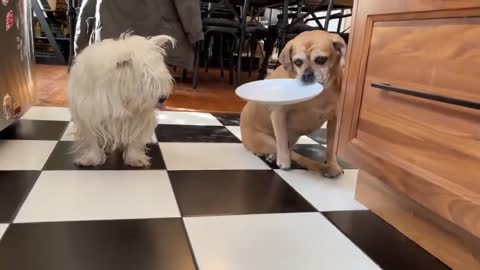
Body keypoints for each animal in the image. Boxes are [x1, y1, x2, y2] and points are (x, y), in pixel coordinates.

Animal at [66, 33, 173, 167]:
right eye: (144, 81)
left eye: (159, 79)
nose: (163, 99)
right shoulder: (89, 115)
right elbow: (91, 139)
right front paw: (91, 158)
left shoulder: (139, 117)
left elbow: (135, 138)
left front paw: (135, 158)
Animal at [239, 30, 344, 177]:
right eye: (297, 62)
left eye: (321, 60)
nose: (307, 75)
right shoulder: (278, 113)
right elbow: (282, 139)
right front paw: (284, 161)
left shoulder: (334, 120)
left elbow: (331, 147)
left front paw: (333, 164)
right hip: (265, 140)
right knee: (294, 155)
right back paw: (322, 168)